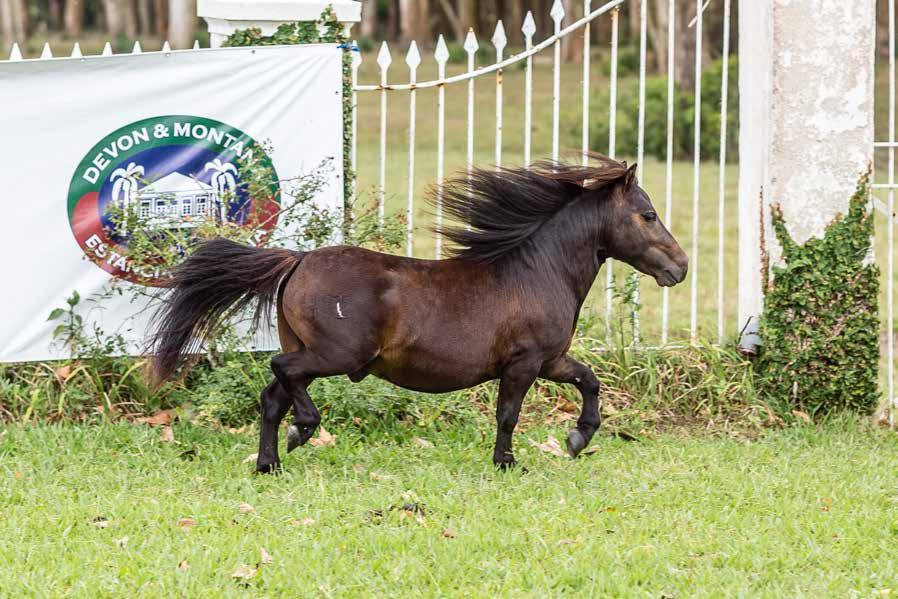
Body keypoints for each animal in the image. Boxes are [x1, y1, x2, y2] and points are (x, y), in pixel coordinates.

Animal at [152, 155, 688, 474]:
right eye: (647, 215)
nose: (680, 267)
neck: (538, 270)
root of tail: (298, 260)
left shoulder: (551, 360)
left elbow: (590, 381)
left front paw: (577, 438)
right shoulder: (524, 363)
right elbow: (509, 414)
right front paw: (507, 462)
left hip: (311, 351)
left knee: (271, 398)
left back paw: (271, 463)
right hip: (335, 355)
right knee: (282, 376)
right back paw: (303, 429)